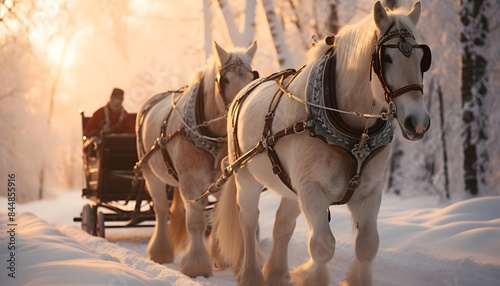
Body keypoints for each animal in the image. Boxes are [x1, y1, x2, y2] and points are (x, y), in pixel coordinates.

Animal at [135, 41, 256, 278]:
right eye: (225, 80)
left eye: (253, 77)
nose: (241, 109)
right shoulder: (190, 181)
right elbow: (196, 222)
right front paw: (197, 265)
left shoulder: (220, 181)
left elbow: (216, 217)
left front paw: (221, 258)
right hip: (151, 176)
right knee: (161, 211)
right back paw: (160, 252)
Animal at [215, 1, 430, 284]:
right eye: (387, 59)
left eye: (422, 59)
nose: (418, 122)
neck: (354, 136)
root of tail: (241, 95)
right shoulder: (312, 190)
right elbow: (322, 247)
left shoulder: (369, 192)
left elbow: (368, 245)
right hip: (246, 178)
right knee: (249, 222)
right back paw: (251, 273)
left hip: (290, 188)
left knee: (282, 225)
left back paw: (277, 273)